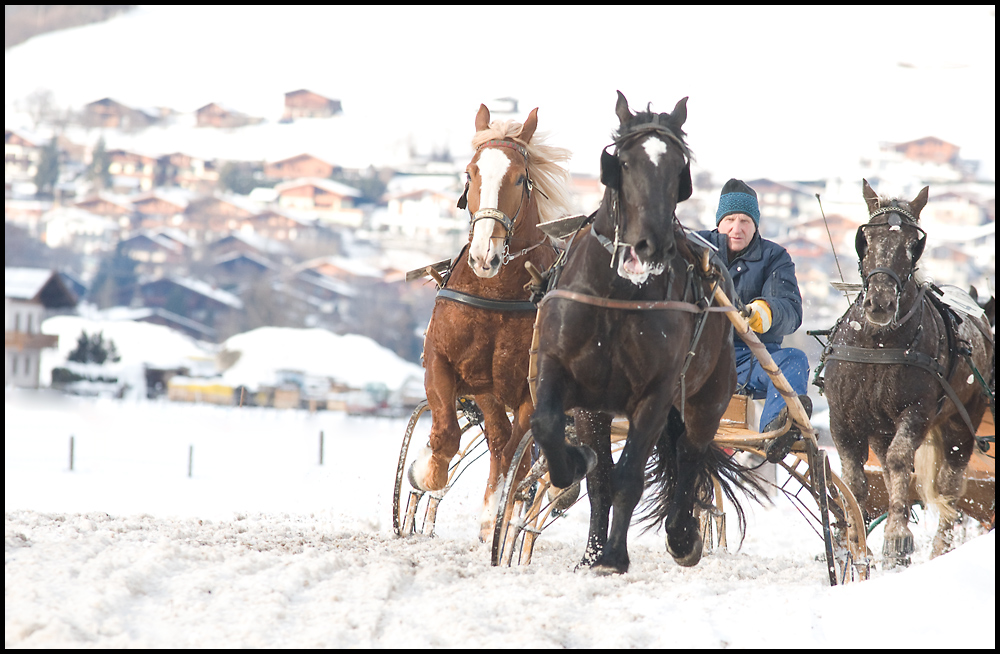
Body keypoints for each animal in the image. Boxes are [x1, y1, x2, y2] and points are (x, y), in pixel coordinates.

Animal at [408, 104, 580, 544]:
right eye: (471, 173)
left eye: (520, 177)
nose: (485, 254)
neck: (496, 293)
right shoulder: (449, 365)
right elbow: (448, 432)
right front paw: (426, 471)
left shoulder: (531, 390)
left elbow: (516, 456)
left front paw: (496, 514)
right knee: (498, 440)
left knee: (514, 452)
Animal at [532, 92, 756, 576]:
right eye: (624, 162)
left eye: (677, 168)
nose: (648, 246)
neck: (619, 293)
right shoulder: (569, 381)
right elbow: (555, 434)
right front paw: (592, 547)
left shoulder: (656, 392)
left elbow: (629, 475)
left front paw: (613, 556)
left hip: (711, 394)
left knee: (690, 452)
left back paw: (682, 533)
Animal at [820, 179, 992, 568]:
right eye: (866, 237)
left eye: (915, 243)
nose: (880, 303)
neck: (878, 342)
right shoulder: (843, 420)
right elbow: (854, 480)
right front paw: (855, 543)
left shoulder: (916, 412)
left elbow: (901, 461)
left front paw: (897, 537)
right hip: (881, 429)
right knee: (887, 466)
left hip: (963, 420)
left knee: (948, 485)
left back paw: (939, 548)